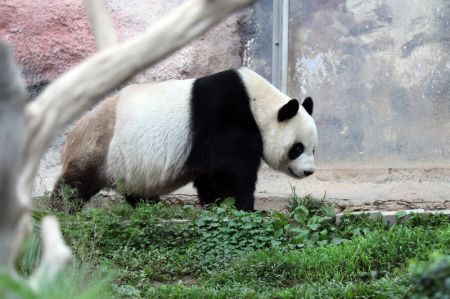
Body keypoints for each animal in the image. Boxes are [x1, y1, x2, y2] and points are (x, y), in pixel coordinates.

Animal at [52, 69, 318, 212]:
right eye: (297, 148)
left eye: (314, 149)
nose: (309, 172)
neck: (258, 104)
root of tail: (68, 138)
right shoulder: (226, 120)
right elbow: (231, 173)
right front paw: (245, 209)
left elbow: (211, 178)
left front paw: (217, 205)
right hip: (100, 149)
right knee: (75, 184)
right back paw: (61, 208)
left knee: (138, 192)